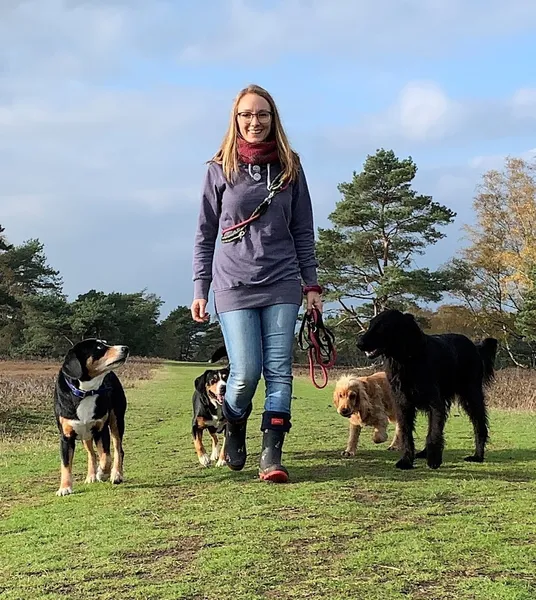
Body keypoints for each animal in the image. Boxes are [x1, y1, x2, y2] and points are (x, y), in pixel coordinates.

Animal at [53, 338, 130, 496]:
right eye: (99, 347)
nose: (125, 348)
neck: (86, 391)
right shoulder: (66, 436)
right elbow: (65, 464)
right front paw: (64, 487)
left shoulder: (101, 430)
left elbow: (106, 457)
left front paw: (103, 473)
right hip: (85, 435)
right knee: (92, 454)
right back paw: (91, 476)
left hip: (116, 421)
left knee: (118, 450)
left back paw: (116, 475)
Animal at [356, 312, 498, 472]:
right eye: (370, 324)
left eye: (382, 326)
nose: (359, 343)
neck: (408, 360)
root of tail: (474, 346)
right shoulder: (403, 405)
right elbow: (407, 434)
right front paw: (406, 461)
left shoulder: (435, 403)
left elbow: (433, 433)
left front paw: (434, 460)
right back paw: (424, 453)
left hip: (471, 396)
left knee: (479, 426)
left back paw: (477, 456)